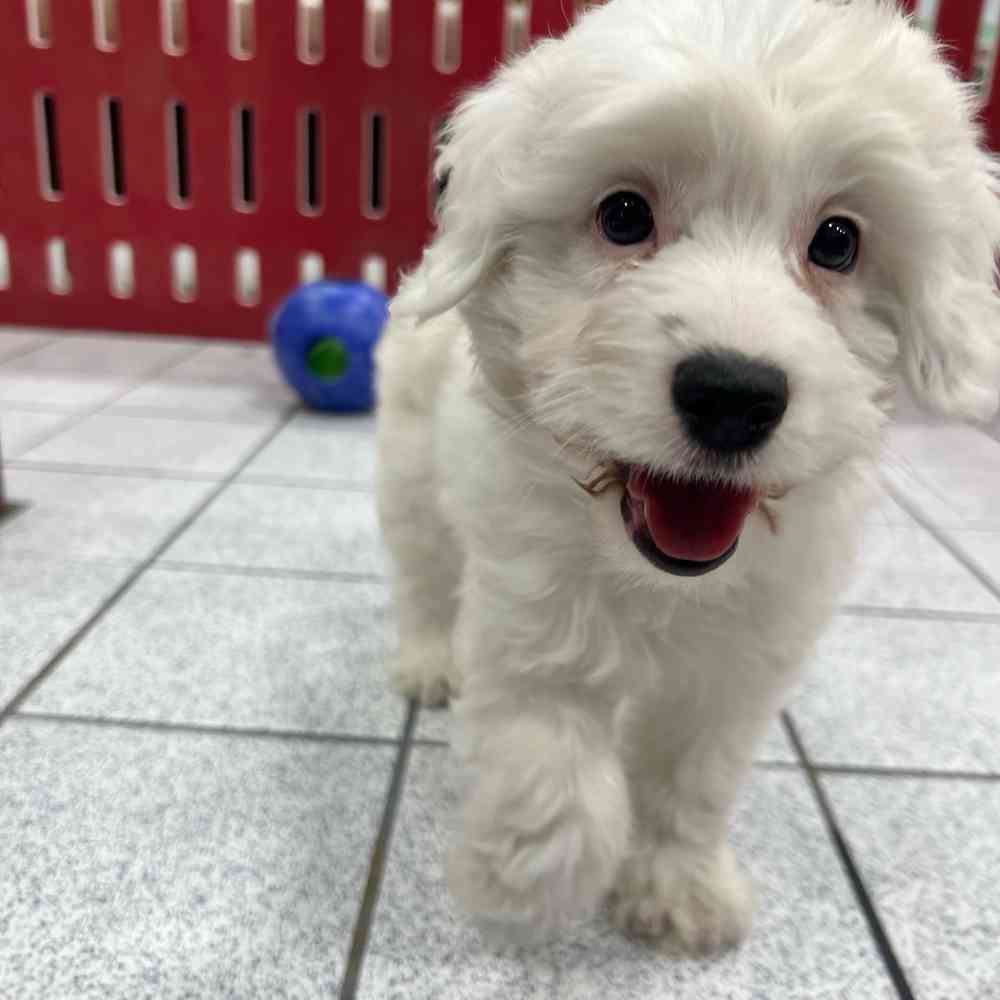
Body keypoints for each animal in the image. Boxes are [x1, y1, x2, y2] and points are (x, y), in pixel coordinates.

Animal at [374, 0, 1000, 952]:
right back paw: (427, 662)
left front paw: (677, 890)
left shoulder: (740, 662)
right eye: (624, 214)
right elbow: (547, 754)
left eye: (837, 240)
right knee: (421, 573)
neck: (658, 579)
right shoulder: (530, 603)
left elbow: (691, 775)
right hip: (411, 467)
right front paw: (528, 880)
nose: (734, 395)